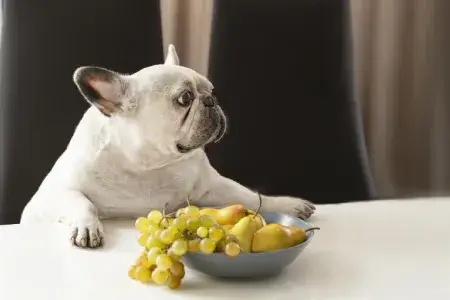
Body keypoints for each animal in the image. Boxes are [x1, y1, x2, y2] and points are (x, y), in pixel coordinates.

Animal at [20, 45, 316, 248]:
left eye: (212, 89)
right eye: (184, 98)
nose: (211, 100)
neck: (149, 163)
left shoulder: (212, 186)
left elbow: (251, 196)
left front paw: (286, 204)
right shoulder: (57, 191)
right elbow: (81, 202)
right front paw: (87, 227)